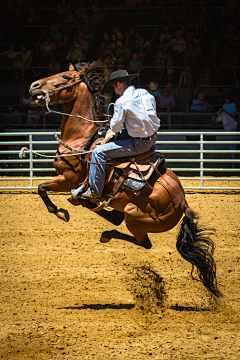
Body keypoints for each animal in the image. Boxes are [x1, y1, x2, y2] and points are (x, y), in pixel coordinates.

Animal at [29, 62, 223, 298]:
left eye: (65, 76)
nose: (34, 85)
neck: (81, 138)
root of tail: (183, 204)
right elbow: (42, 188)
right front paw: (68, 206)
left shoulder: (68, 179)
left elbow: (41, 188)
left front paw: (60, 212)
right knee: (119, 222)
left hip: (133, 215)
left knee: (142, 242)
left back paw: (105, 231)